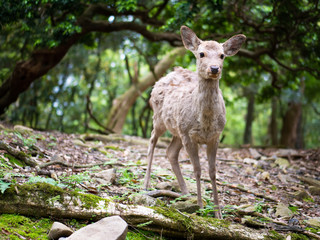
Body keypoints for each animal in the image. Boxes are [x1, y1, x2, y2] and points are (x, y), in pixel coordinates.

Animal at [144, 25, 246, 218]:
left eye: (222, 55)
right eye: (201, 53)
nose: (214, 68)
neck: (205, 122)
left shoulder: (215, 136)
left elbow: (212, 172)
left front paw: (218, 213)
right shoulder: (189, 136)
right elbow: (197, 169)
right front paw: (200, 206)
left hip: (178, 130)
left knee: (170, 152)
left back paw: (185, 192)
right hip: (159, 118)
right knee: (152, 140)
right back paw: (146, 185)